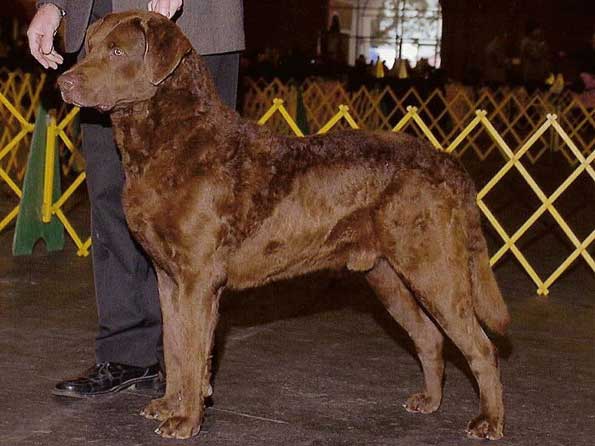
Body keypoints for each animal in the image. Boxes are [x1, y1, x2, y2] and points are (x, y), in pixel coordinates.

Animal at [57, 11, 512, 442]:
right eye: (89, 47)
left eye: (117, 51)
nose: (63, 81)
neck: (172, 143)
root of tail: (448, 162)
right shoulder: (169, 279)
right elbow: (174, 346)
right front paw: (170, 406)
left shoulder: (198, 280)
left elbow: (192, 352)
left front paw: (185, 420)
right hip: (387, 276)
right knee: (430, 338)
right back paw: (429, 402)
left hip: (434, 269)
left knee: (481, 347)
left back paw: (489, 422)